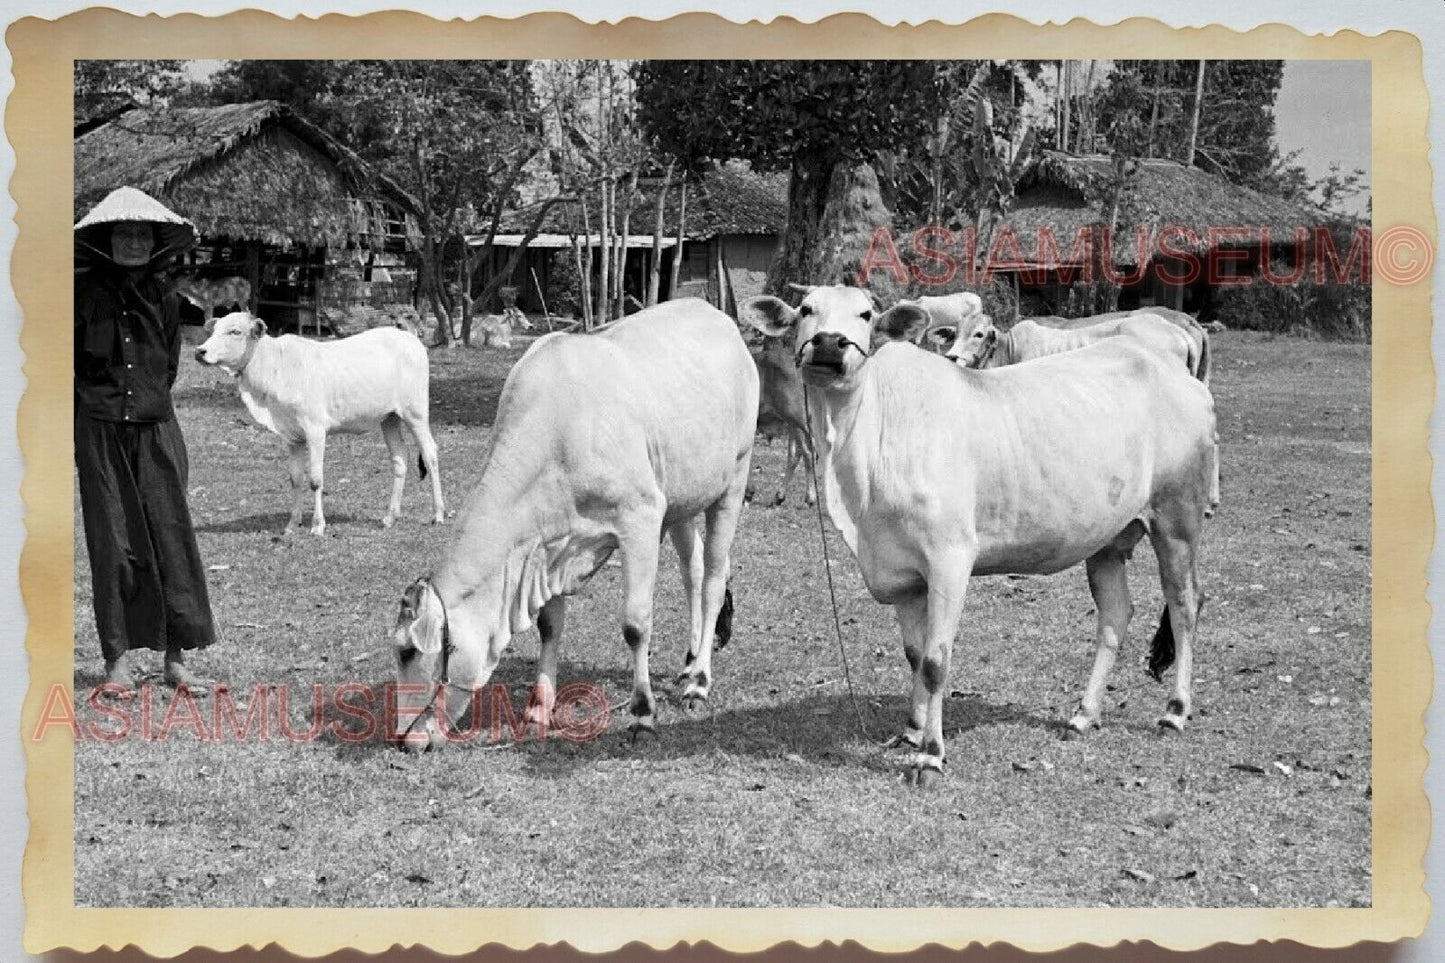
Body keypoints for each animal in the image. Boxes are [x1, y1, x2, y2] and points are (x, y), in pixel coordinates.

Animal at [193, 315, 439, 540]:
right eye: (213, 329)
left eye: (235, 331)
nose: (200, 351)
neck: (275, 367)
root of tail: (410, 338)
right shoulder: (291, 436)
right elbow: (295, 479)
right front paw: (292, 524)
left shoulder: (315, 430)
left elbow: (315, 480)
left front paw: (318, 525)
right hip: (389, 417)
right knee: (400, 458)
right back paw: (390, 517)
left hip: (415, 412)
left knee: (430, 454)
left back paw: (438, 514)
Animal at [390, 296, 762, 746]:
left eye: (407, 650)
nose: (404, 739)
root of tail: (719, 318)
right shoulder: (549, 544)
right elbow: (549, 625)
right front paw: (538, 711)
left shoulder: (640, 517)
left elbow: (636, 624)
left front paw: (642, 714)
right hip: (682, 499)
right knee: (693, 571)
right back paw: (689, 663)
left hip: (732, 483)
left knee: (712, 580)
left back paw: (699, 682)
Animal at [739, 284, 1213, 780]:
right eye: (806, 309)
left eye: (865, 314)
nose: (829, 343)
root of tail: (1175, 373)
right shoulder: (901, 571)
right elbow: (914, 653)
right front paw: (912, 730)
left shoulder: (950, 559)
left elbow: (935, 660)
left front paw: (931, 753)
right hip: (1106, 538)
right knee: (1115, 615)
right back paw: (1083, 714)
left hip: (1177, 519)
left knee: (1185, 604)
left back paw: (1175, 711)